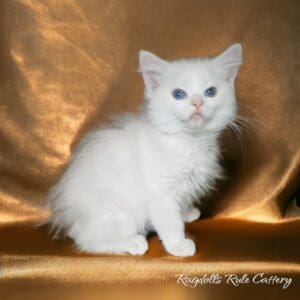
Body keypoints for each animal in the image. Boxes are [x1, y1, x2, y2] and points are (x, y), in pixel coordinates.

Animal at [47, 43, 244, 256]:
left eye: (210, 92)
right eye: (178, 94)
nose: (197, 102)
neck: (189, 141)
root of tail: (67, 213)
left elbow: (180, 205)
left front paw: (187, 213)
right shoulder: (160, 191)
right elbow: (170, 222)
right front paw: (178, 245)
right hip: (117, 212)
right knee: (86, 239)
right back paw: (133, 243)